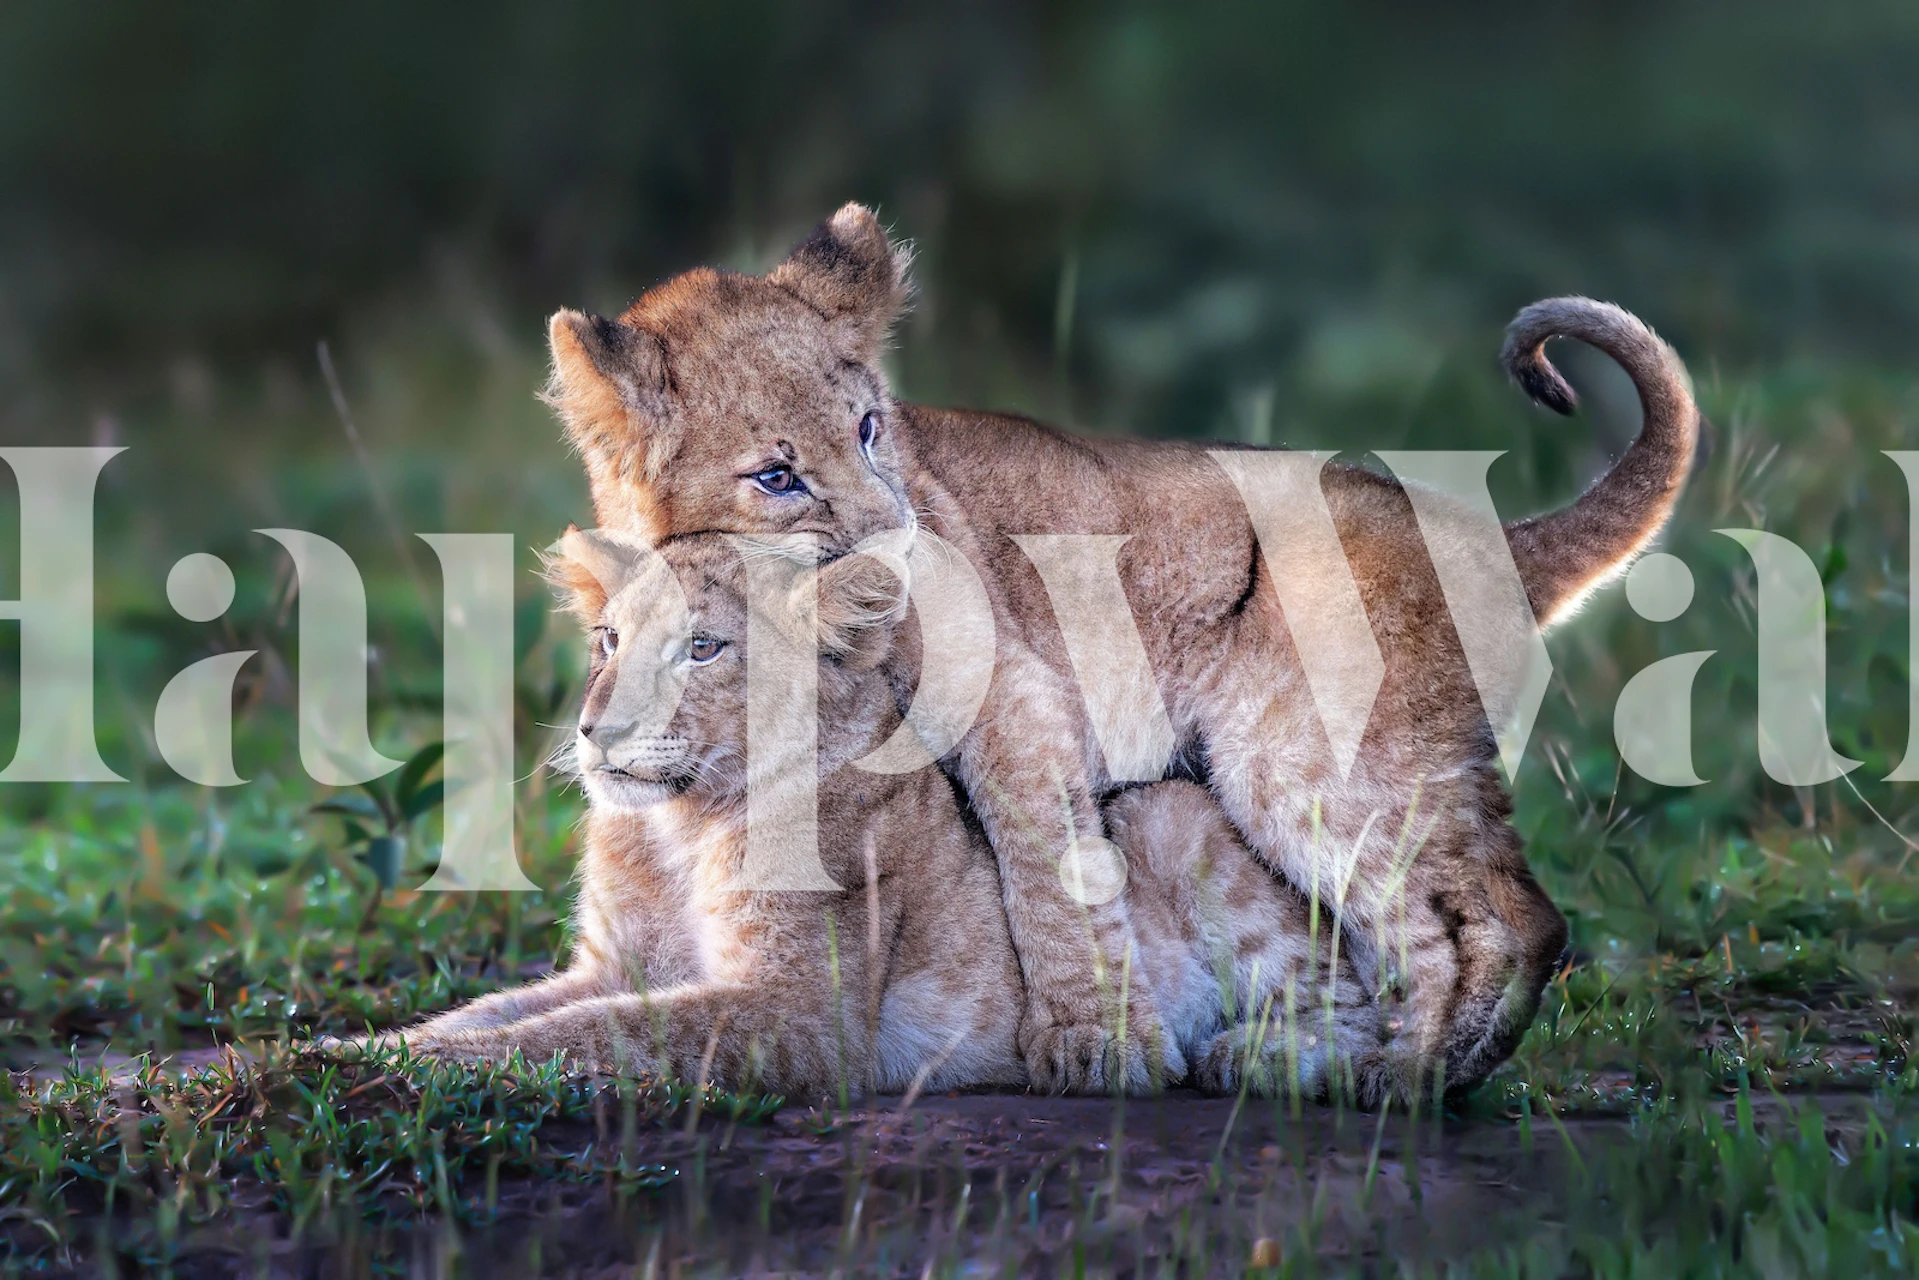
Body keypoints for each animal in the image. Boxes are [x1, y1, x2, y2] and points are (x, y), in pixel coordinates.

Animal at [356, 530, 1387, 1101]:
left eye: (702, 648)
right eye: (608, 640)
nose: (594, 732)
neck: (677, 826)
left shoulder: (799, 1014)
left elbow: (583, 1035)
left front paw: (407, 1071)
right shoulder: (613, 966)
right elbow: (495, 1014)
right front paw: (347, 1050)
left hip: (1170, 815)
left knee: (1364, 1012)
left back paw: (1248, 1057)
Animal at [538, 204, 1697, 1096]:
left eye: (870, 429)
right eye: (775, 475)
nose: (904, 549)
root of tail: (1480, 530)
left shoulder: (1011, 690)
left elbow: (1045, 864)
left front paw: (1096, 1043)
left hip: (1306, 760)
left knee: (1503, 919)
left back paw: (1397, 1078)